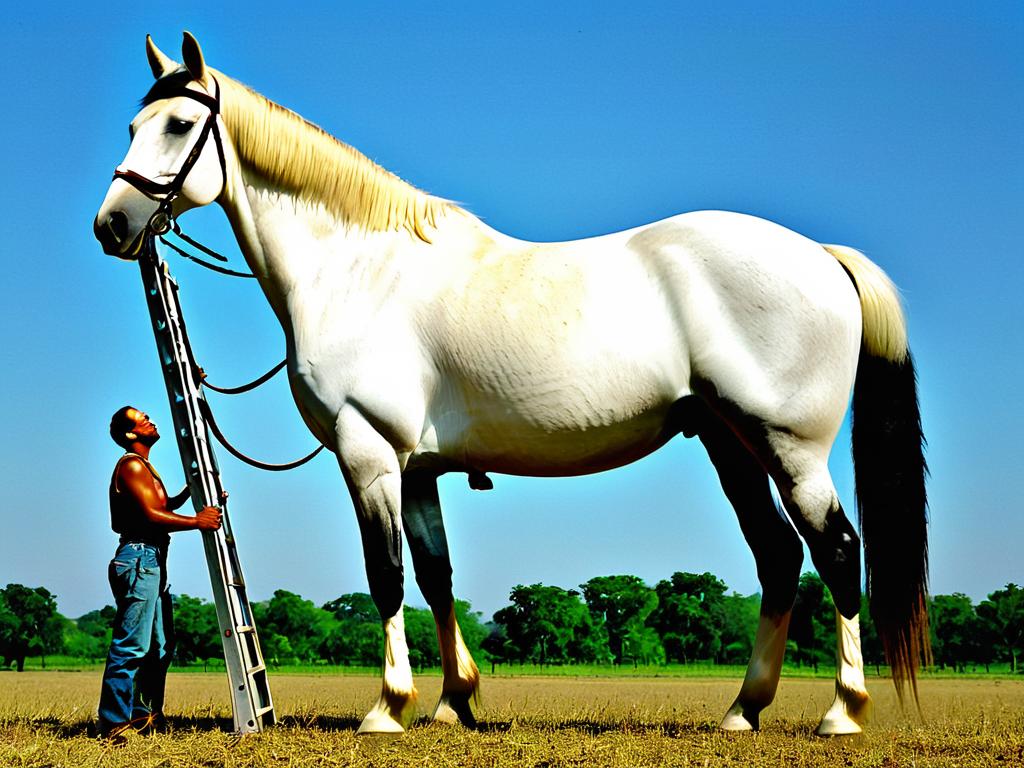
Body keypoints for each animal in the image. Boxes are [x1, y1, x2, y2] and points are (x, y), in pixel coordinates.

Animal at [94, 33, 929, 737]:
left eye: (177, 125)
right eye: (132, 123)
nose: (113, 225)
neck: (359, 271)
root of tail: (821, 256)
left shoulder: (368, 453)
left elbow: (386, 576)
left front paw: (386, 708)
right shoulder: (416, 468)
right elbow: (435, 577)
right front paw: (452, 703)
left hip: (789, 446)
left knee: (836, 549)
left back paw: (842, 711)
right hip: (728, 442)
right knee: (780, 558)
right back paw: (742, 711)